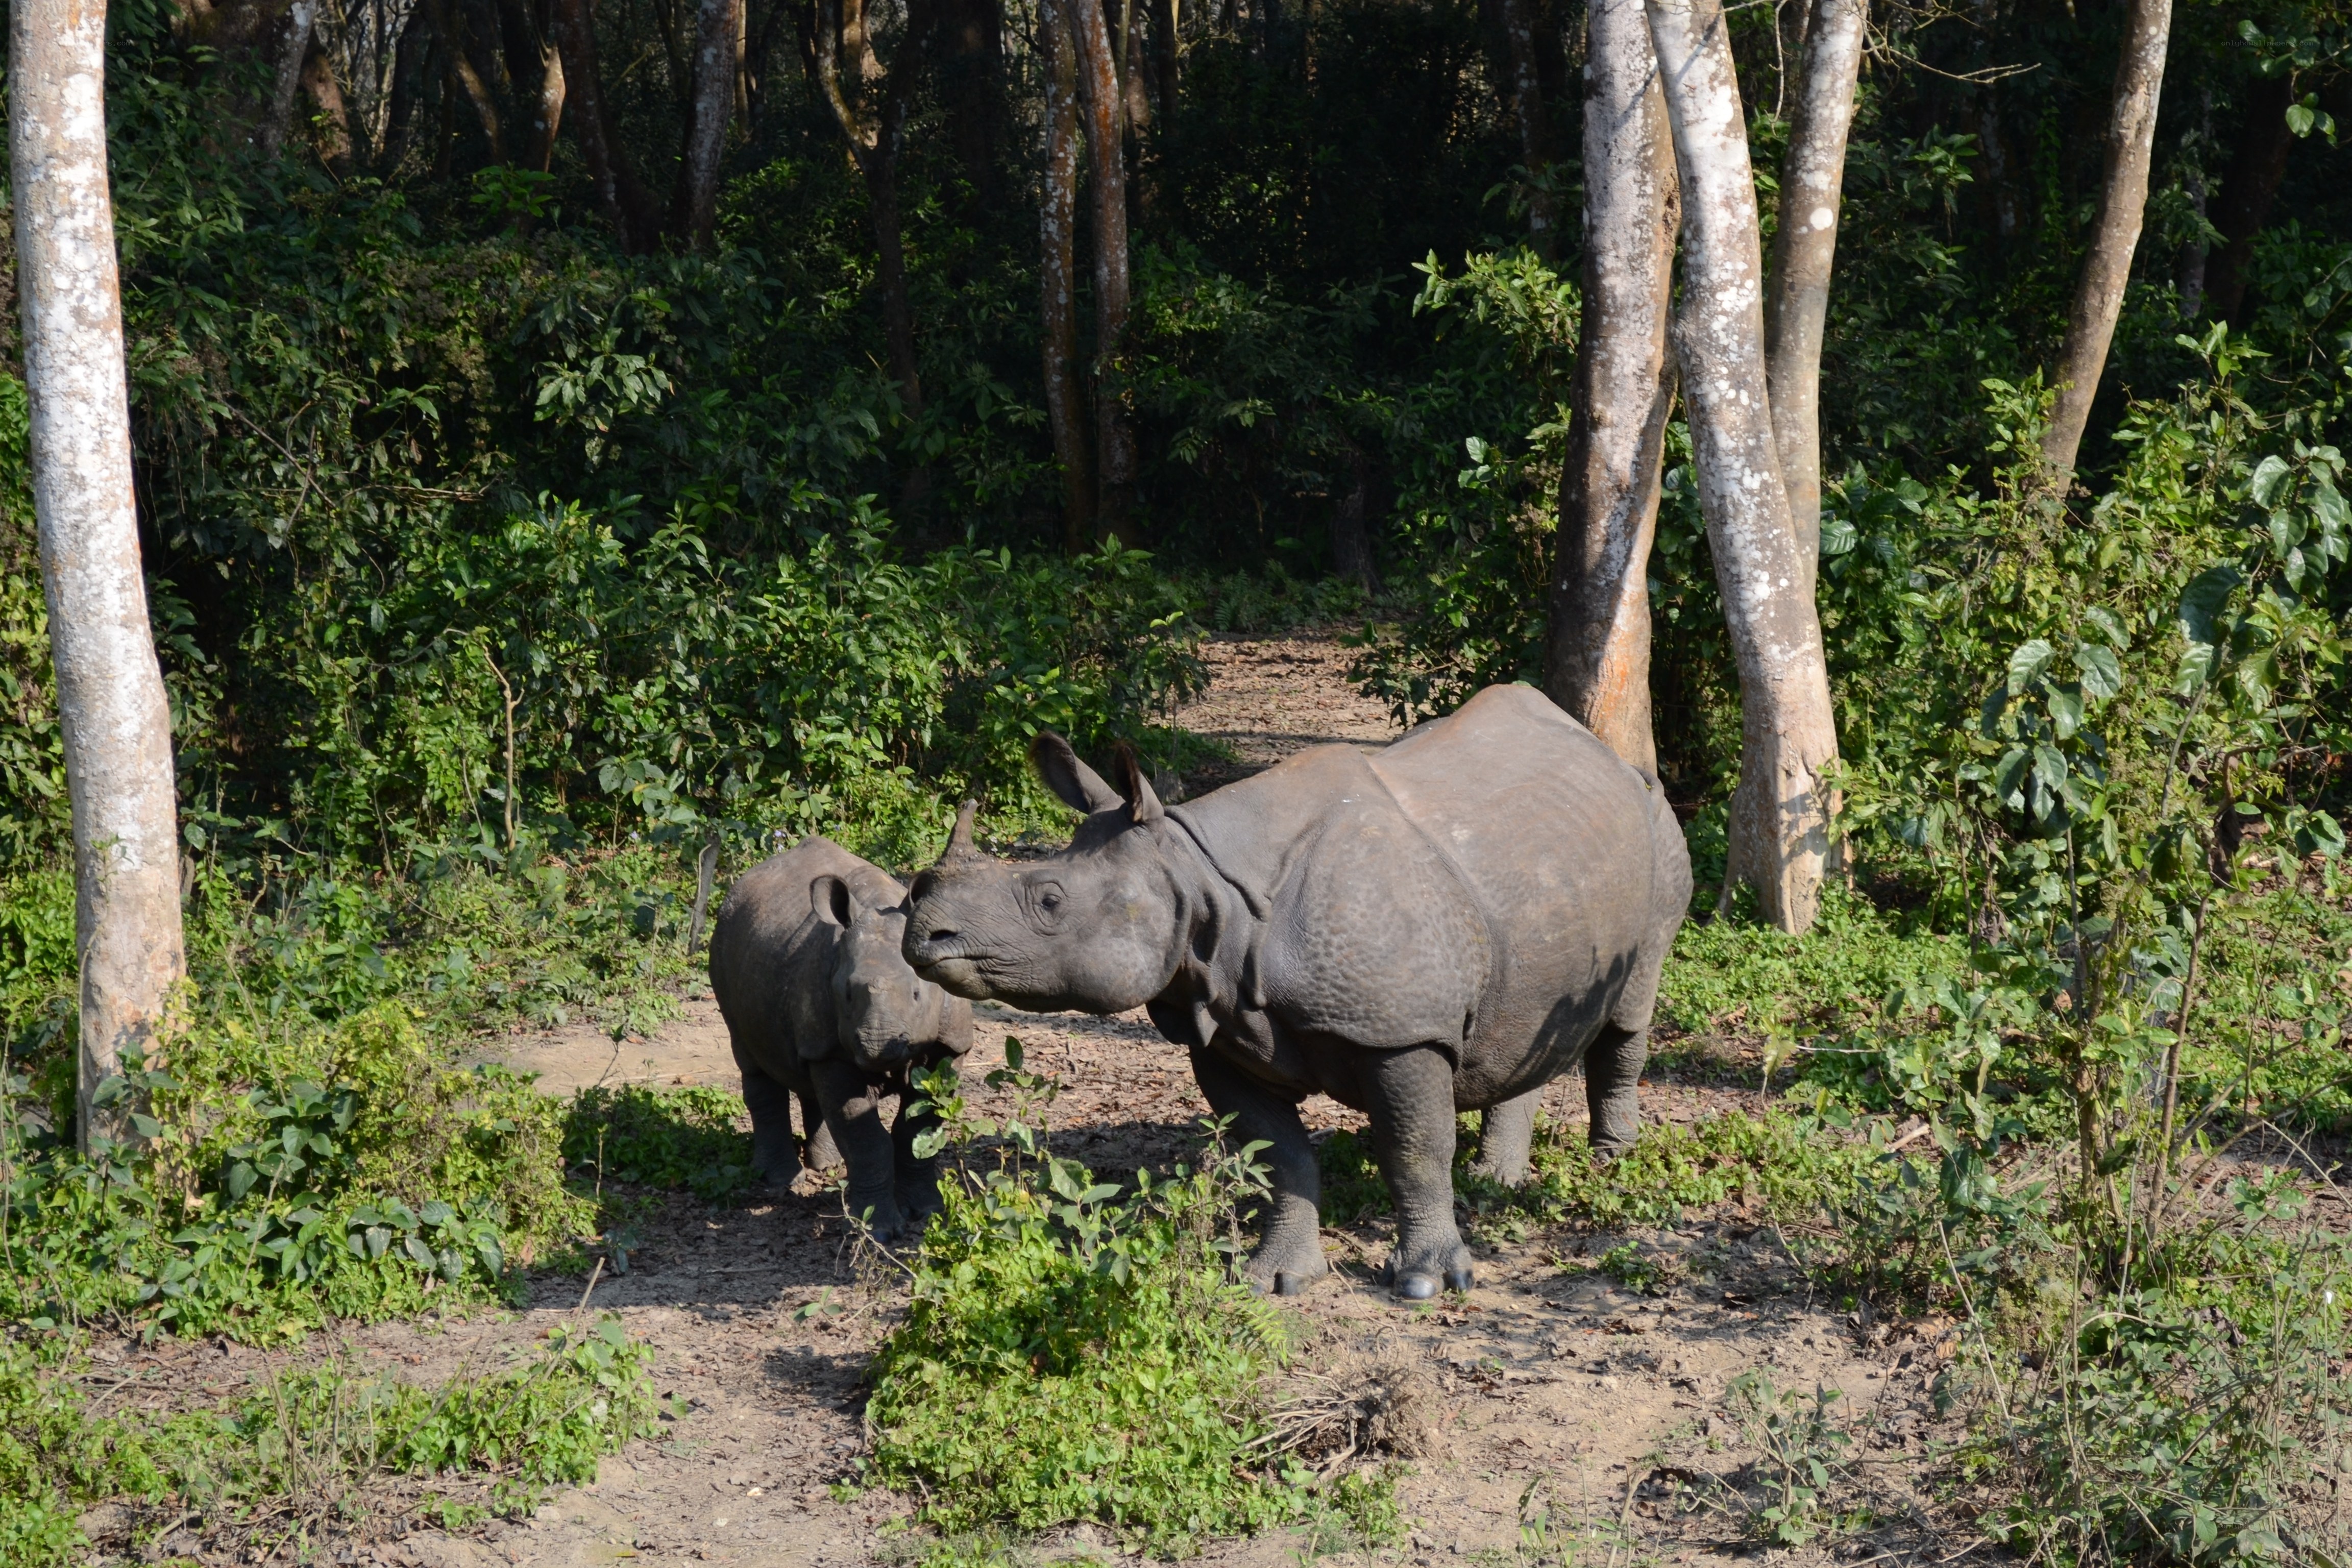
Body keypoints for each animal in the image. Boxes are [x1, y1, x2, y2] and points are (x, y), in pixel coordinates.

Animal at [709, 836, 974, 1239]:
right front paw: (879, 1230)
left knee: (807, 1073)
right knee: (752, 1058)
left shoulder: (951, 1043)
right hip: (723, 952)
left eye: (917, 994)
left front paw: (927, 1212)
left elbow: (918, 1131)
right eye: (847, 994)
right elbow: (867, 1140)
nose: (878, 1046)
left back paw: (827, 1166)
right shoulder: (833, 1047)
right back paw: (782, 1180)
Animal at [902, 683, 1690, 1299]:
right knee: (1521, 1013)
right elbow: (1278, 1154)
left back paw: (1610, 1161)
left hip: (1658, 827)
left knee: (1629, 1009)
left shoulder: (1400, 1031)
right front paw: (1276, 1279)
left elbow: (1414, 1148)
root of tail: (1608, 754)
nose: (923, 936)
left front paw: (1427, 1283)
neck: (1201, 881)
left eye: (1050, 901)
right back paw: (1498, 1183)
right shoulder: (1222, 1031)